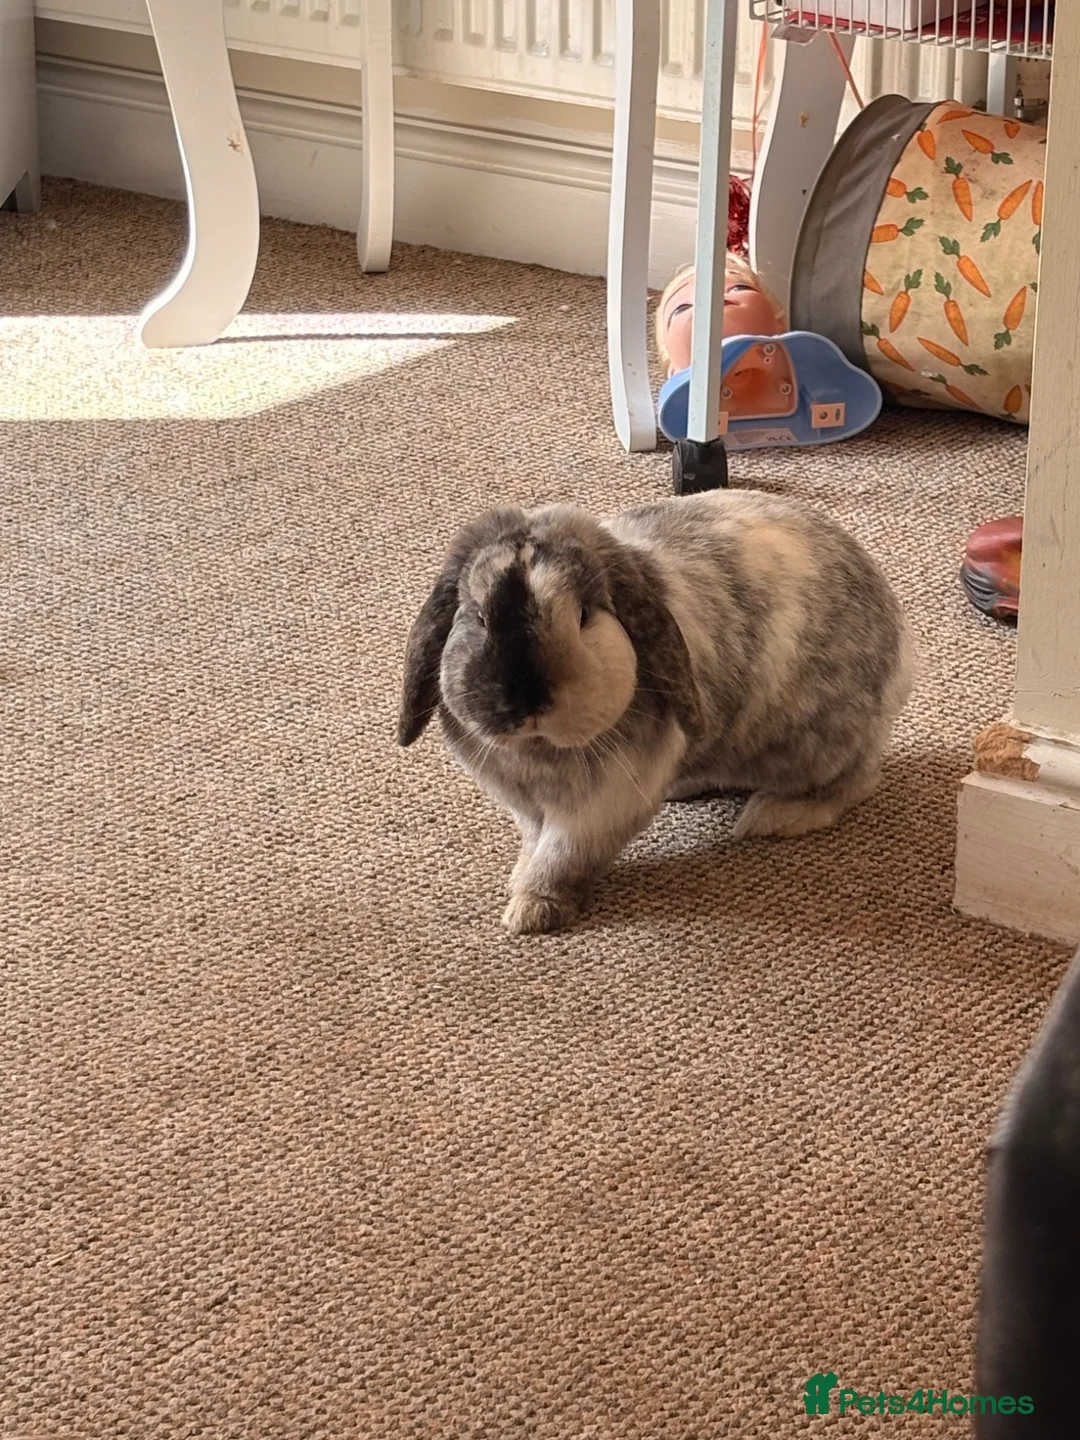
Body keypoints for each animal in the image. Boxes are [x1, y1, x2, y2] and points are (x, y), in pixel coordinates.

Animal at [398, 489, 914, 936]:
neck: (540, 751)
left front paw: (529, 912)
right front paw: (518, 879)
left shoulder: (599, 808)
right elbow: (534, 845)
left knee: (853, 783)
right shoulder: (529, 808)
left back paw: (772, 816)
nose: (527, 701)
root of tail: (900, 642)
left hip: (818, 747)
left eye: (584, 615)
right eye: (479, 617)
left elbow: (560, 859)